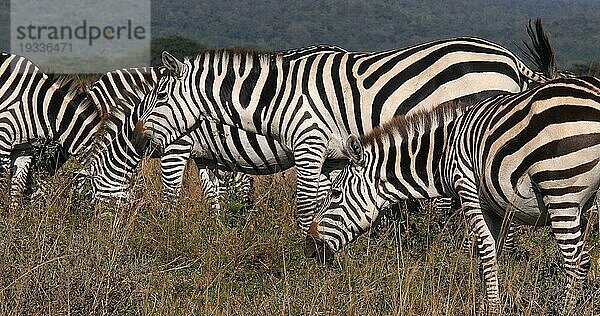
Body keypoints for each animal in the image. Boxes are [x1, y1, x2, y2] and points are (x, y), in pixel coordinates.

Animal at [134, 24, 556, 237]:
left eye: (159, 96)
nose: (139, 139)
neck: (280, 96)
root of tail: (509, 58)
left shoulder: (308, 143)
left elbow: (305, 204)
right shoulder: (334, 156)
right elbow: (327, 201)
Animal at [310, 76, 600, 312]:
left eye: (335, 193)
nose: (309, 245)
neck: (442, 154)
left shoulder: (467, 186)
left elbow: (485, 249)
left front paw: (492, 307)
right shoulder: (496, 205)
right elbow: (492, 252)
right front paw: (485, 301)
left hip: (561, 192)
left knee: (577, 261)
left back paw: (565, 309)